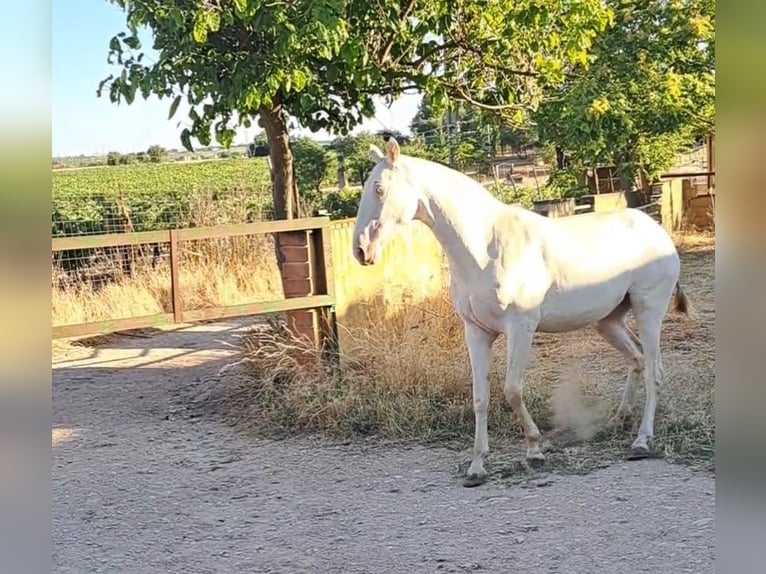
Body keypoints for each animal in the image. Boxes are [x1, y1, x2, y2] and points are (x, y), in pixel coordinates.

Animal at [354, 137, 696, 488]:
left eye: (379, 188)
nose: (361, 250)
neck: (487, 248)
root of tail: (658, 231)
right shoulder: (477, 333)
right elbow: (480, 397)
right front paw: (476, 468)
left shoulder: (521, 328)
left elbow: (512, 390)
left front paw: (534, 451)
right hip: (608, 321)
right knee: (637, 359)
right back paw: (619, 419)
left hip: (648, 311)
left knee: (654, 371)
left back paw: (641, 441)